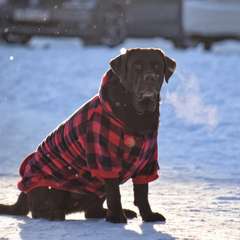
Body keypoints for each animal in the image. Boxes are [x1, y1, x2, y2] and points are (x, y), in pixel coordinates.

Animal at [0, 48, 176, 223]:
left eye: (157, 66)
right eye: (137, 67)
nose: (150, 77)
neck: (137, 115)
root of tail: (23, 194)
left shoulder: (147, 163)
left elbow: (142, 194)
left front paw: (148, 216)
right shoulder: (104, 159)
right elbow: (115, 194)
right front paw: (117, 217)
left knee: (91, 212)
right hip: (52, 187)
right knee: (39, 211)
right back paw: (54, 214)